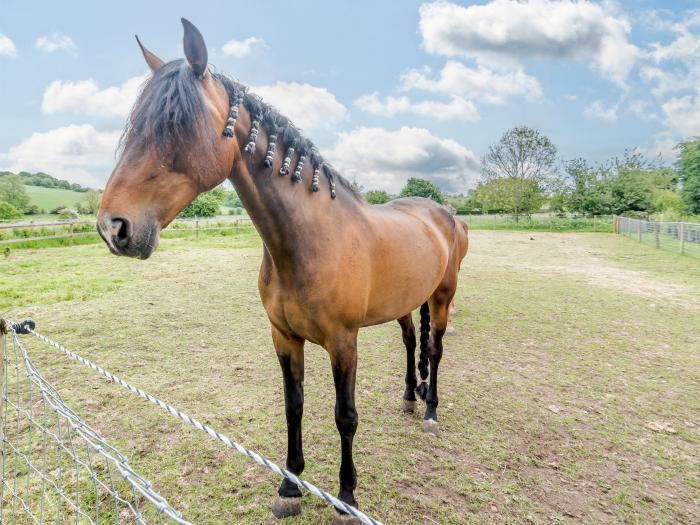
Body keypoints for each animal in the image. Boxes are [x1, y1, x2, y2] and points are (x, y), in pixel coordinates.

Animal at [97, 18, 470, 520]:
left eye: (177, 124)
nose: (113, 227)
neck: (307, 243)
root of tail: (442, 212)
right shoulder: (284, 337)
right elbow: (294, 405)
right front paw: (290, 486)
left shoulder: (343, 342)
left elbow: (345, 416)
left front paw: (347, 496)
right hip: (407, 303)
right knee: (413, 341)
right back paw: (411, 398)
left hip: (443, 297)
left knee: (435, 348)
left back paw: (430, 412)